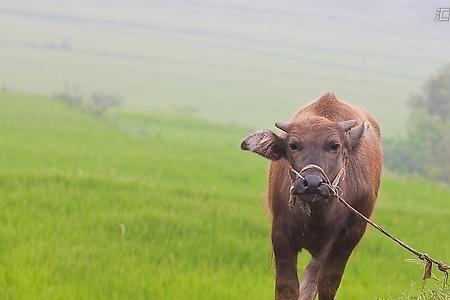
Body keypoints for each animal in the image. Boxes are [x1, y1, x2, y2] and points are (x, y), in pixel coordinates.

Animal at [241, 93, 382, 300]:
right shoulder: (280, 233)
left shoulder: (347, 238)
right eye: (293, 145)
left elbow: (327, 284)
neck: (318, 215)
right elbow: (287, 287)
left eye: (334, 146)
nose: (313, 183)